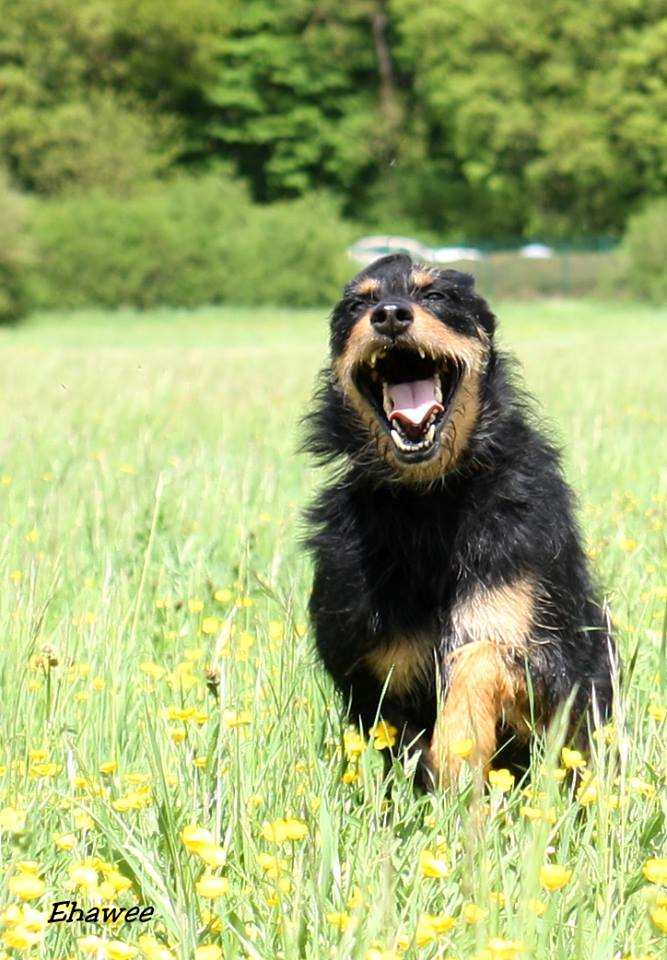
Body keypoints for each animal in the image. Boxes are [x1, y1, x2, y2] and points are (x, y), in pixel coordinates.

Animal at [306, 253, 612, 788]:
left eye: (435, 295)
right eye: (356, 305)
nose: (389, 314)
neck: (431, 503)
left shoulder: (556, 665)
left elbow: (478, 658)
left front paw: (457, 751)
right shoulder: (373, 682)